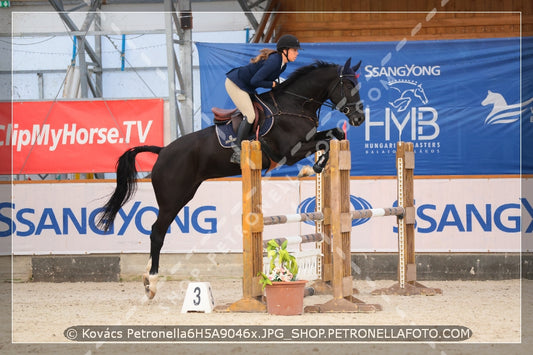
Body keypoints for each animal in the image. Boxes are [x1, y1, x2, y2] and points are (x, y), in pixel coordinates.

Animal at [98, 58, 366, 300]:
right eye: (348, 84)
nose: (359, 119)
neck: (295, 104)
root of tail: (162, 151)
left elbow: (334, 134)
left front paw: (319, 164)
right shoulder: (290, 152)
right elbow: (325, 142)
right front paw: (315, 166)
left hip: (184, 194)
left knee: (158, 231)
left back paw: (146, 278)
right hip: (171, 199)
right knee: (156, 232)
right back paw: (152, 282)